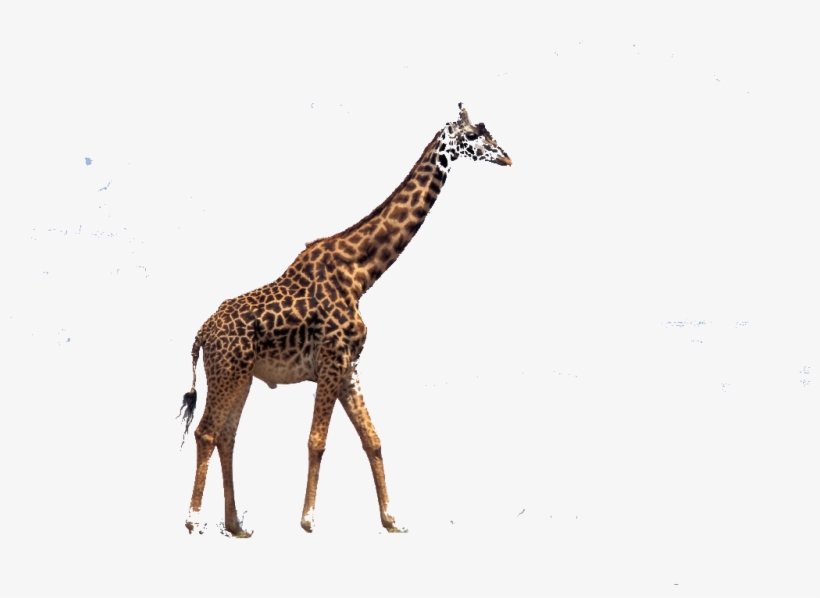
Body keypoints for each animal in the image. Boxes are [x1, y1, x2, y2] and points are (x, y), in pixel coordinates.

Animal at [179, 103, 512, 536]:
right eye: (473, 135)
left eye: (488, 132)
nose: (507, 157)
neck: (361, 275)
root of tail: (201, 332)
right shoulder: (331, 359)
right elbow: (317, 439)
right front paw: (308, 520)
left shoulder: (349, 365)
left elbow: (373, 439)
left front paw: (392, 520)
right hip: (227, 371)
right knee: (206, 432)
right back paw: (193, 522)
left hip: (241, 375)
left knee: (226, 436)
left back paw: (236, 526)